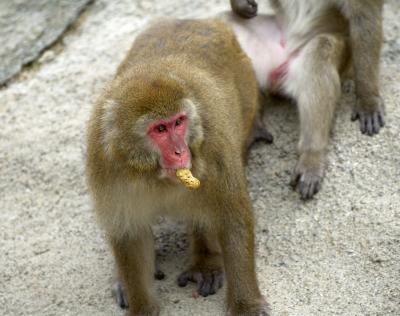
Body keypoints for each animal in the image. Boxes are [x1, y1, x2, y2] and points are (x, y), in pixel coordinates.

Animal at [86, 17, 268, 316]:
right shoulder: (105, 161)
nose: (180, 152)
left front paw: (246, 305)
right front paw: (142, 307)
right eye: (160, 129)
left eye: (179, 122)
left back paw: (205, 261)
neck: (152, 175)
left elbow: (232, 217)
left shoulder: (213, 146)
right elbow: (130, 235)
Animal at [227, 0, 382, 199]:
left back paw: (311, 157)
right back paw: (253, 125)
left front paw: (368, 98)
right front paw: (240, 5)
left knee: (320, 53)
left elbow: (364, 14)